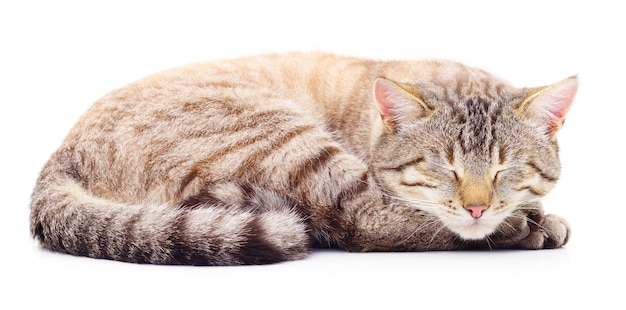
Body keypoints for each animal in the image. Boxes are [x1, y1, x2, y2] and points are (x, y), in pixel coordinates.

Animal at [29, 52, 576, 266]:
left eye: (506, 170)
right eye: (443, 167)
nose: (478, 207)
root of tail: (60, 154)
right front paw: (527, 223)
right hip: (283, 136)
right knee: (363, 222)